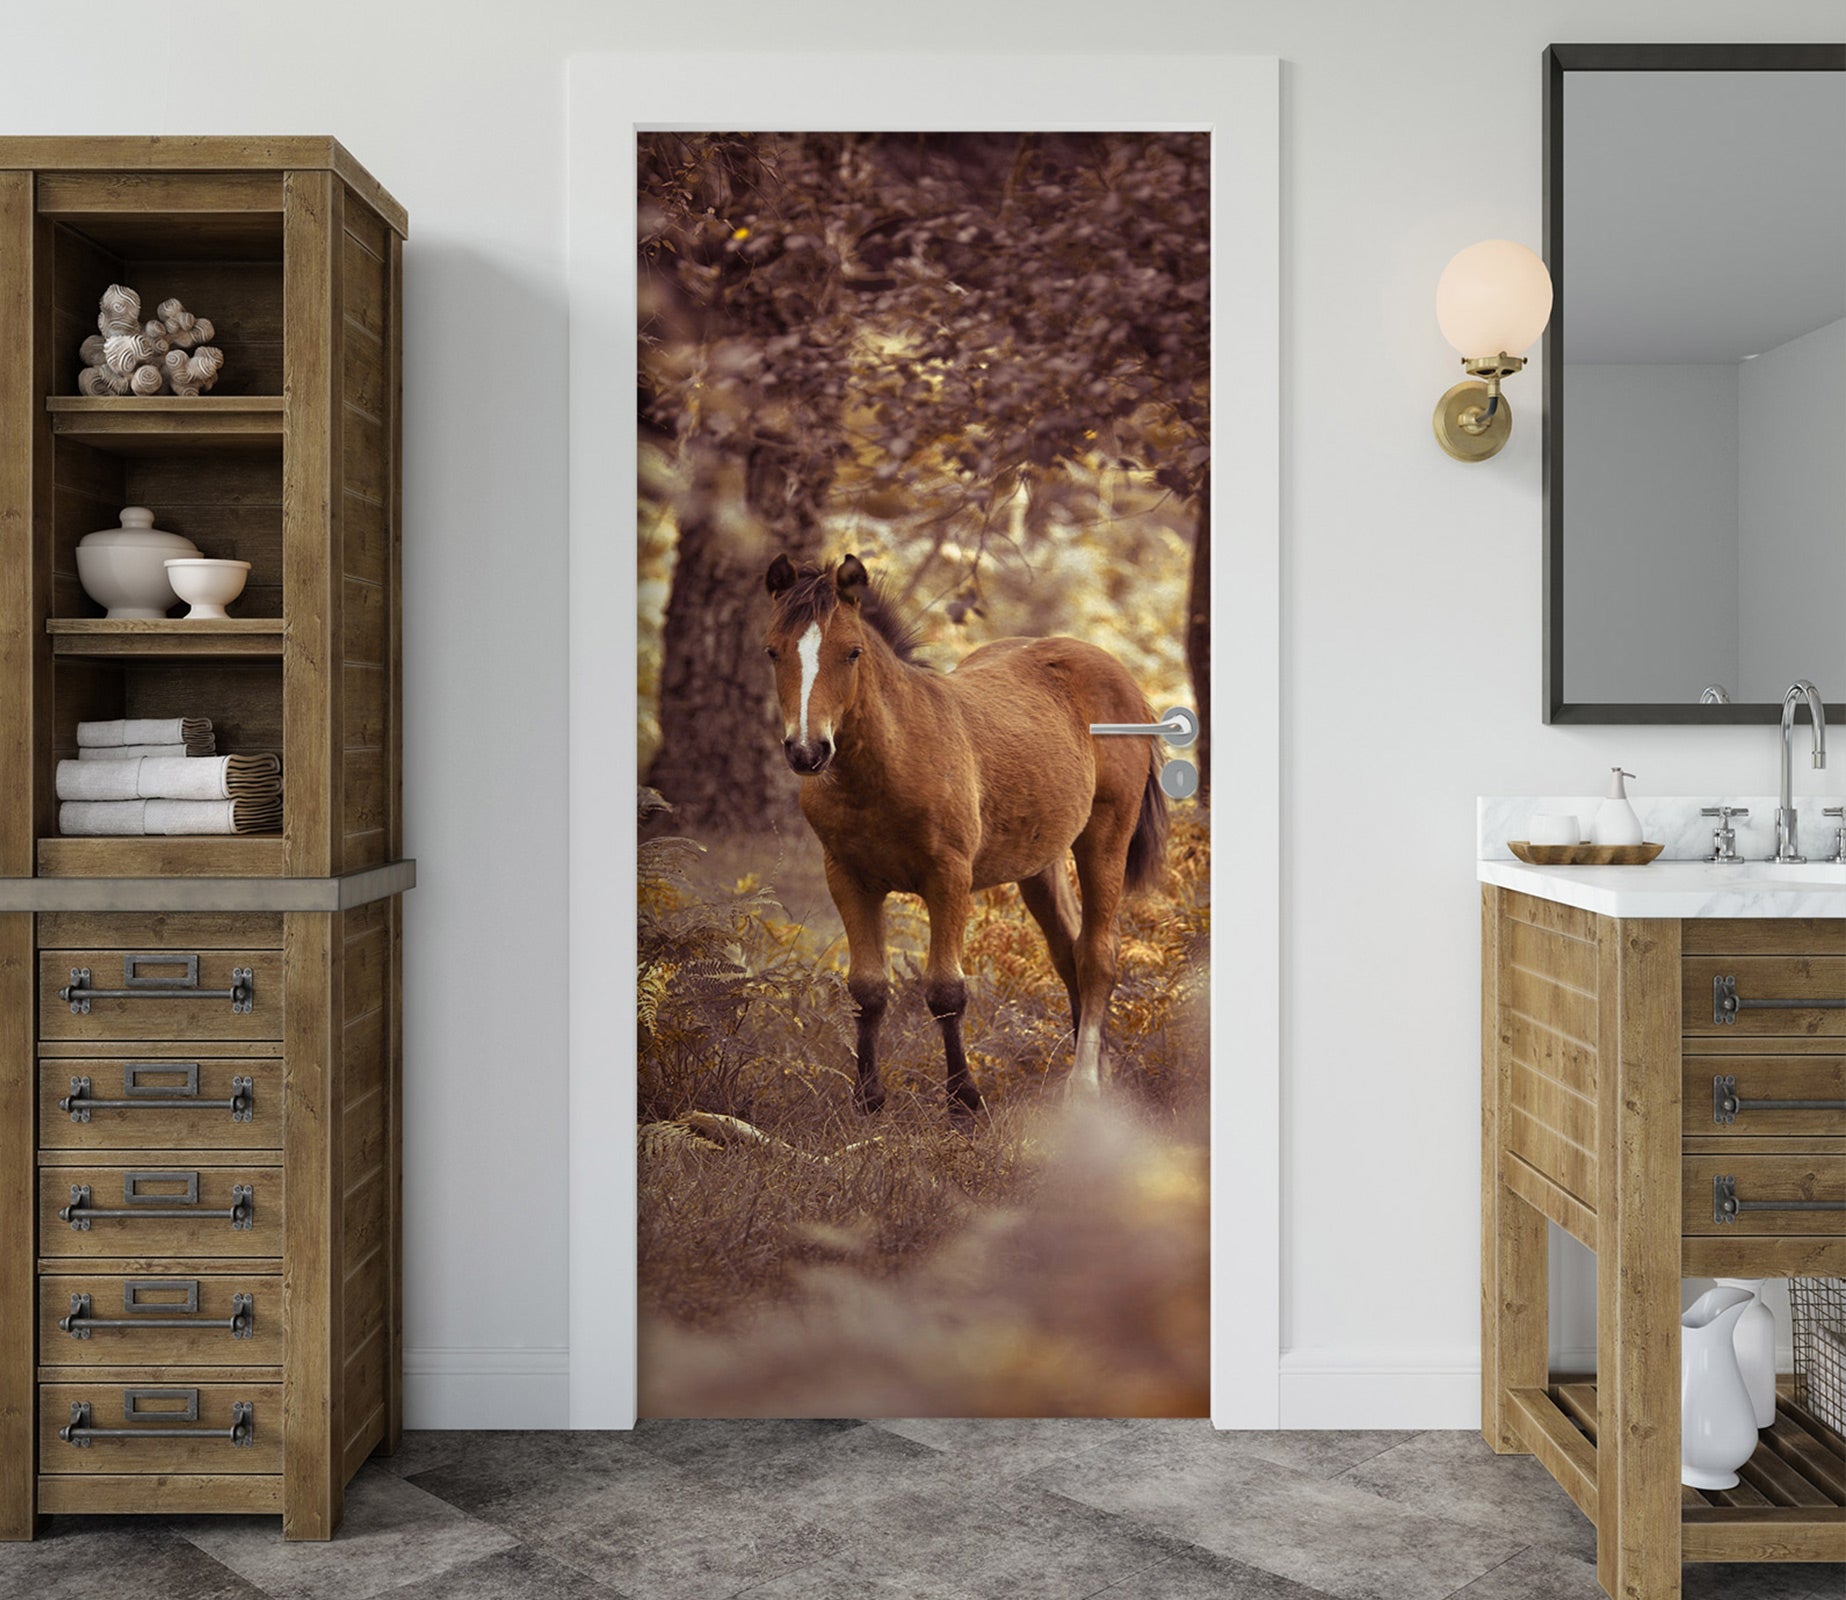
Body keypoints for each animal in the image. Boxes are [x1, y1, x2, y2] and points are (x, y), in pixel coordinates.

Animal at [763, 552, 1169, 1123]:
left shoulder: (948, 878)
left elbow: (945, 991)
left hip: (1106, 835)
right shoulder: (847, 878)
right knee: (1067, 951)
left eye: (852, 652)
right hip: (1039, 864)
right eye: (773, 650)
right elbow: (867, 989)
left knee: (1097, 955)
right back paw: (1102, 1077)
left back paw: (1085, 1086)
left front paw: (964, 1101)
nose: (807, 751)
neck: (888, 763)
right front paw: (868, 1099)